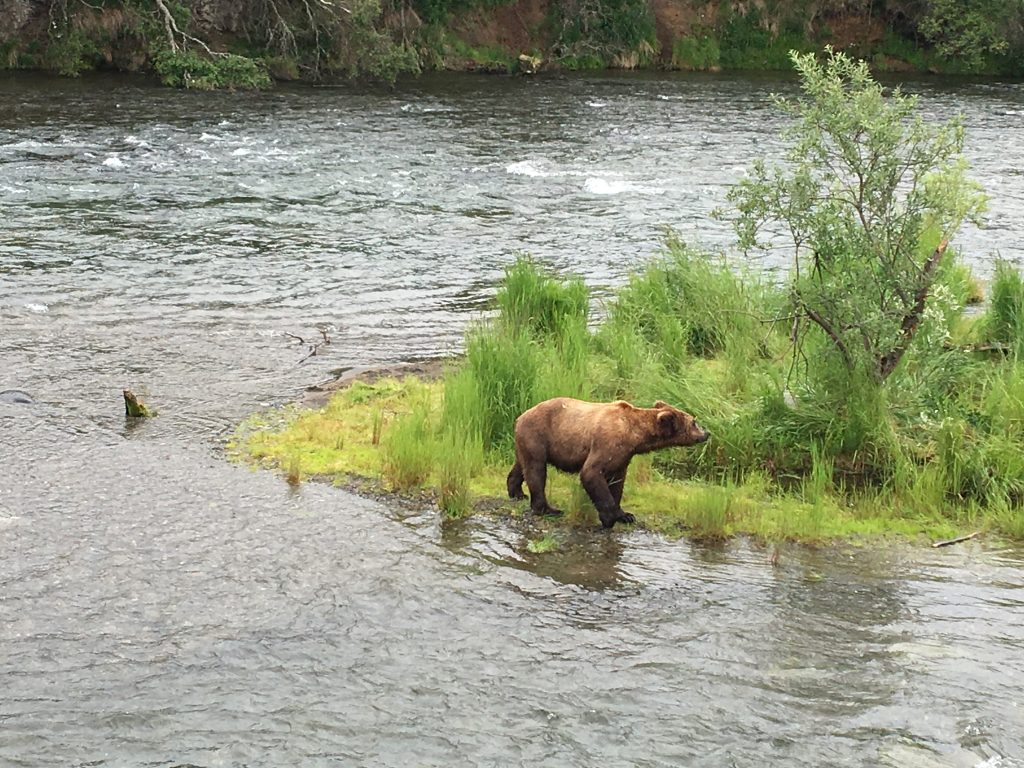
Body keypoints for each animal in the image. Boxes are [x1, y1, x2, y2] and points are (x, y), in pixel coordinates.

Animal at [505, 397, 712, 528]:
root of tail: (520, 416)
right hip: (538, 434)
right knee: (536, 469)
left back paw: (517, 493)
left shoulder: (624, 456)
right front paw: (609, 518)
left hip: (528, 441)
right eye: (694, 422)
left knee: (522, 465)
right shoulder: (607, 443)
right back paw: (548, 509)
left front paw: (626, 515)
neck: (634, 435)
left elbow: (617, 482)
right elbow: (592, 473)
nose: (707, 433)